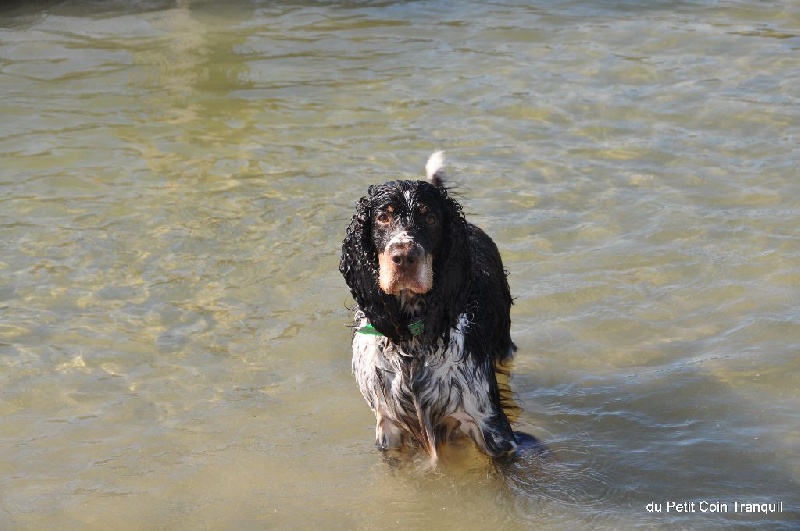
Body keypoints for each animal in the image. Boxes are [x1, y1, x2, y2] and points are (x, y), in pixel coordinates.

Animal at [340, 153, 532, 462]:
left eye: (430, 218)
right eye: (383, 217)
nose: (403, 257)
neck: (411, 339)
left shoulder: (491, 427)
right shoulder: (389, 427)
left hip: (504, 346)